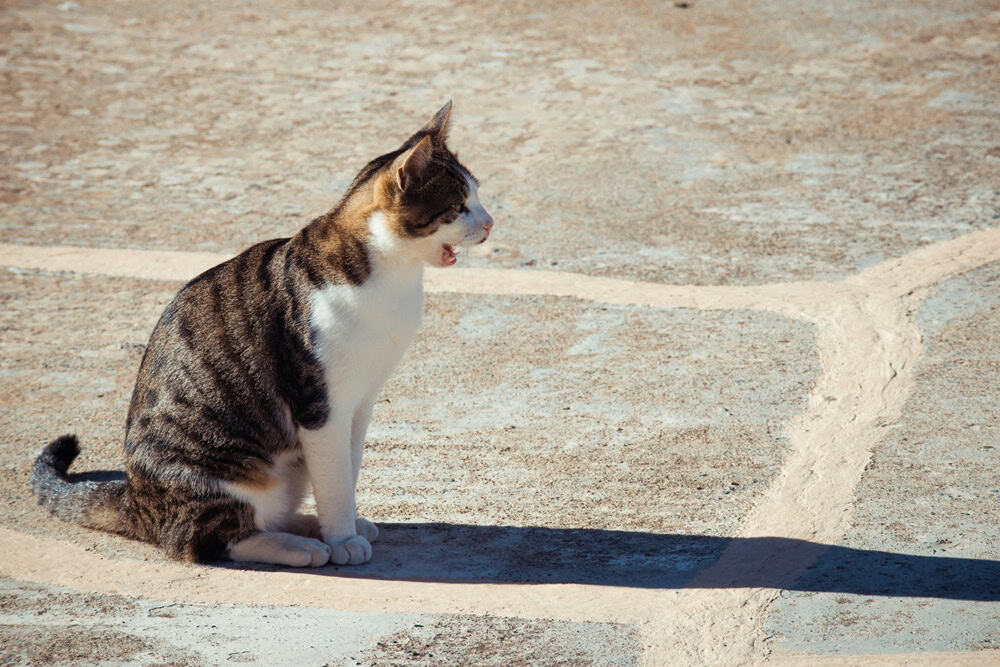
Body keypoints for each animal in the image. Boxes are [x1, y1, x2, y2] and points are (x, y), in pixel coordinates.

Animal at [33, 102, 494, 568]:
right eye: (459, 206)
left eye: (477, 197)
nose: (491, 224)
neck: (392, 275)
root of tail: (137, 500)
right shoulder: (321, 405)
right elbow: (334, 480)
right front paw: (342, 538)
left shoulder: (361, 401)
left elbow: (346, 471)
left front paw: (342, 525)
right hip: (220, 473)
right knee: (206, 540)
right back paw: (300, 547)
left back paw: (306, 528)